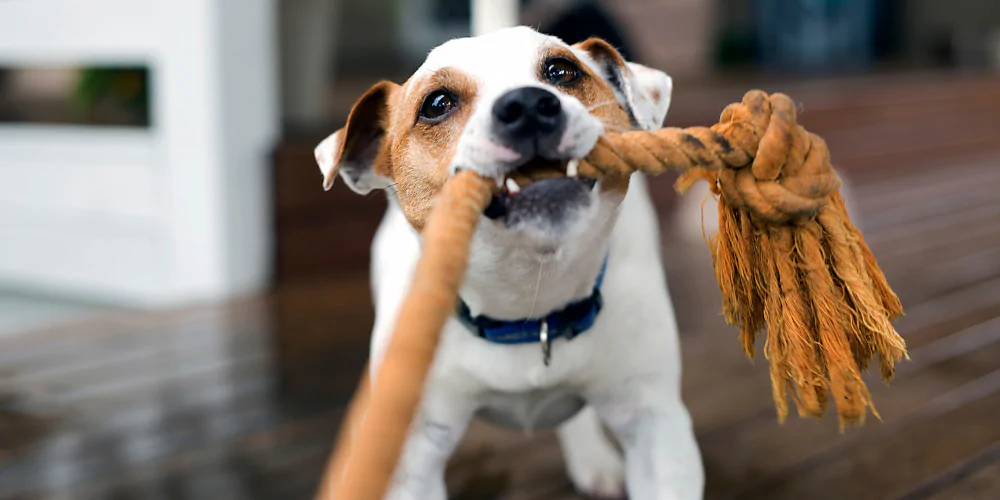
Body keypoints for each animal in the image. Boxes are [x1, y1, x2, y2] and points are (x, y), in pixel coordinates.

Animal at [318, 27, 704, 500]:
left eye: (562, 71)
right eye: (437, 103)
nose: (528, 105)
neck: (528, 305)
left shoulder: (655, 425)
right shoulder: (412, 456)